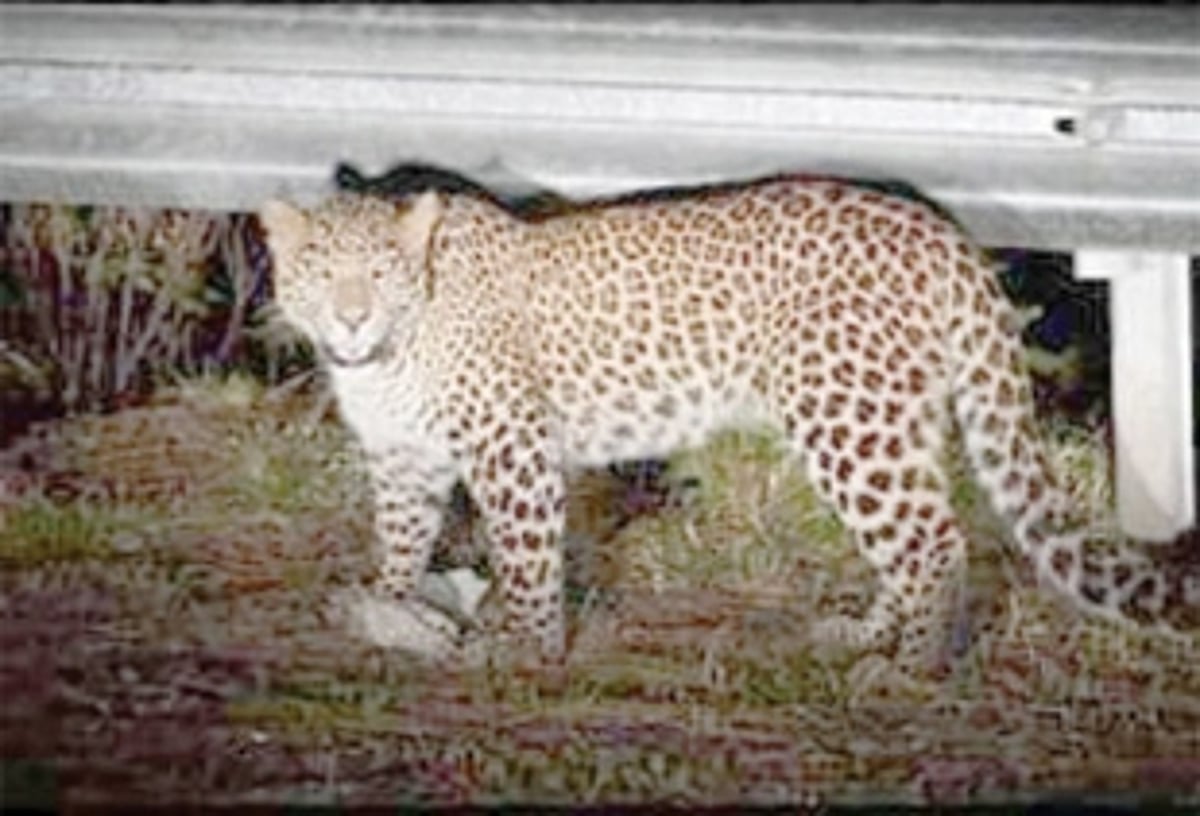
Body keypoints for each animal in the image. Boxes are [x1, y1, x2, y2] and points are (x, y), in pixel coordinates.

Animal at [260, 171, 1198, 672]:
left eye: (380, 273)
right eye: (320, 274)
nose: (350, 318)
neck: (389, 358)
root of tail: (943, 235)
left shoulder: (511, 448)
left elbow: (524, 558)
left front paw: (526, 650)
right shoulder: (404, 461)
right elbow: (399, 544)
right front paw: (390, 613)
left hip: (849, 418)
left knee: (933, 540)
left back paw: (908, 672)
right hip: (891, 422)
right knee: (912, 536)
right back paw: (866, 633)